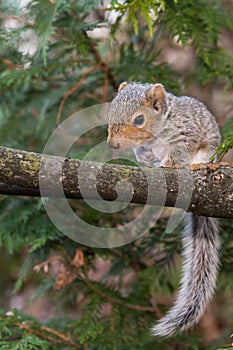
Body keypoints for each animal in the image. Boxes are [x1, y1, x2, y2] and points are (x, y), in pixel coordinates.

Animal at [106, 82, 221, 336]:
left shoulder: (186, 132)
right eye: (109, 113)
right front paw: (146, 158)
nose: (113, 144)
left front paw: (166, 164)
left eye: (139, 120)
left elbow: (180, 151)